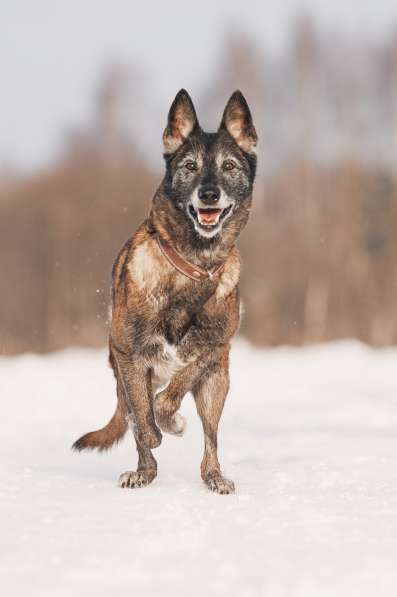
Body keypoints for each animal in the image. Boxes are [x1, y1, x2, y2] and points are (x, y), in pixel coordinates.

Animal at [72, 88, 256, 494]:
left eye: (229, 166)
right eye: (189, 165)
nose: (209, 194)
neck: (193, 265)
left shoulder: (213, 348)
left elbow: (176, 386)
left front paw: (170, 419)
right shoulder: (129, 355)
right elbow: (142, 417)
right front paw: (153, 434)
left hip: (217, 385)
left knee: (209, 437)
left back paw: (214, 475)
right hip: (125, 373)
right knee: (136, 419)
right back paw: (144, 470)